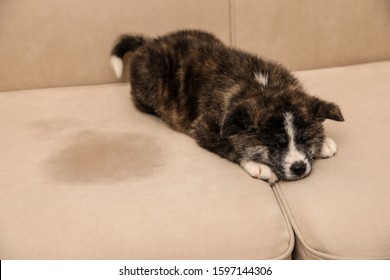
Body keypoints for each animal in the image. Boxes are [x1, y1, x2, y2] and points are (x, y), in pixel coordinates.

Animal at [110, 30, 344, 186]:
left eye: (304, 139)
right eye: (275, 145)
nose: (299, 167)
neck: (263, 86)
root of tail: (150, 43)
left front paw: (323, 143)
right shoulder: (205, 130)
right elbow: (231, 148)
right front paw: (259, 166)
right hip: (149, 82)